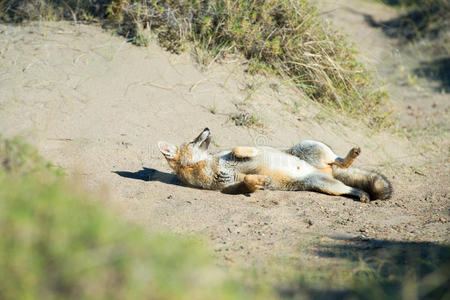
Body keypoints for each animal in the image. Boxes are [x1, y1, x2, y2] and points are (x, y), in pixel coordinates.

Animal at [157, 127, 390, 203]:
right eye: (191, 141)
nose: (206, 127)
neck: (210, 165)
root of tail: (324, 170)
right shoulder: (234, 187)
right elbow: (250, 181)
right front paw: (262, 180)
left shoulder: (231, 152)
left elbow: (239, 149)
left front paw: (249, 152)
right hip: (328, 186)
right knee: (350, 186)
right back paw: (362, 194)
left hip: (309, 147)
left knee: (339, 160)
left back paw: (351, 155)